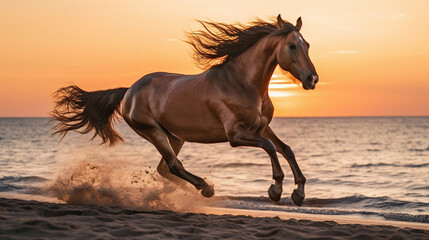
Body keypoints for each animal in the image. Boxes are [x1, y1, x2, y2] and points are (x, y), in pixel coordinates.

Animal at [51, 14, 318, 206]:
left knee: (164, 169)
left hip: (175, 136)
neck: (242, 83)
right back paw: (205, 188)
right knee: (173, 166)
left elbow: (286, 148)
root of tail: (129, 91)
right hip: (152, 131)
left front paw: (299, 193)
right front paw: (276, 190)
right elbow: (271, 147)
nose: (312, 79)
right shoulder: (235, 134)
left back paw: (196, 191)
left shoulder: (262, 126)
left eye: (307, 44)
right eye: (292, 46)